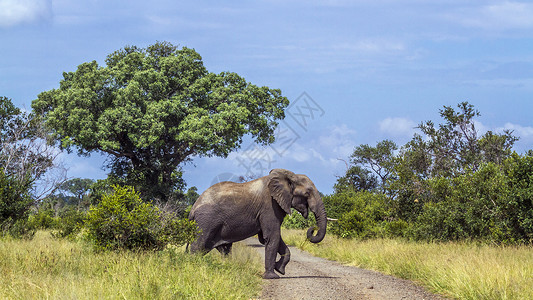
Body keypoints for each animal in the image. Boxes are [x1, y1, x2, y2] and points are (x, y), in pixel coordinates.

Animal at [189, 169, 326, 278]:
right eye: (307, 193)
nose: (312, 228)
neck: (288, 177)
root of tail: (193, 208)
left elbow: (272, 238)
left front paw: (279, 269)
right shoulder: (269, 206)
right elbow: (272, 236)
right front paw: (272, 276)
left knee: (221, 249)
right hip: (206, 221)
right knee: (198, 245)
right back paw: (191, 265)